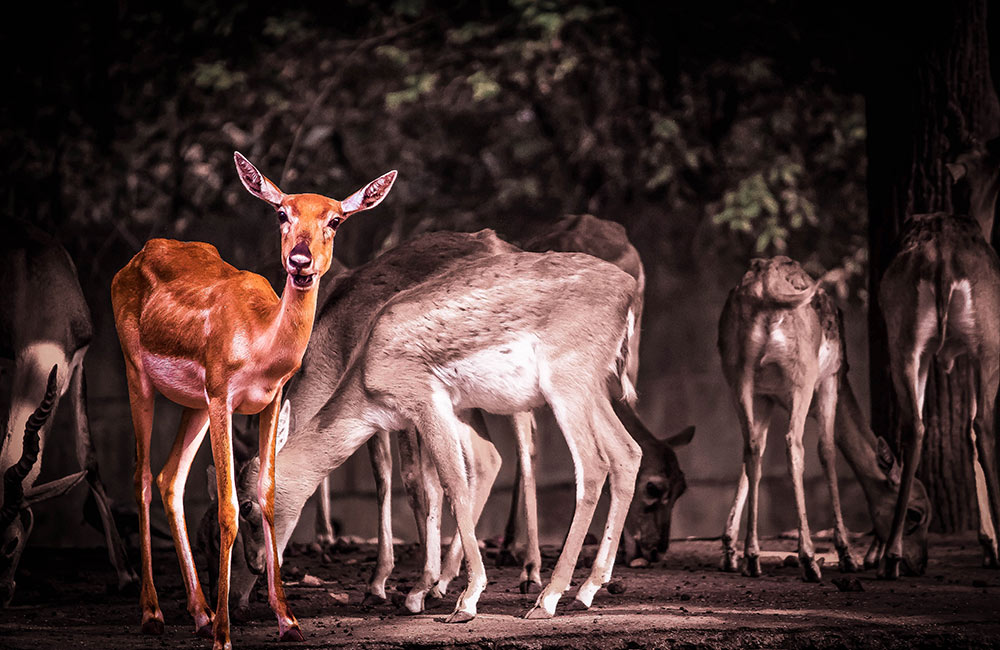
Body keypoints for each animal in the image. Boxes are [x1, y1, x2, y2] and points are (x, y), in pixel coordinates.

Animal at [108, 153, 390, 648]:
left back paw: (199, 613)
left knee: (169, 477)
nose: (300, 259)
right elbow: (227, 509)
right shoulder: (223, 396)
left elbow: (268, 494)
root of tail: (135, 258)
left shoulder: (269, 402)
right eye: (282, 213)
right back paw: (154, 613)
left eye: (335, 219)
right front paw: (225, 634)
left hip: (193, 404)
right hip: (137, 372)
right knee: (141, 475)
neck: (259, 343)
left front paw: (289, 622)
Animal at [720, 256, 860, 580]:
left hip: (737, 375)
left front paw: (730, 551)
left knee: (751, 448)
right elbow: (827, 450)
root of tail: (764, 286)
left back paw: (751, 557)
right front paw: (846, 554)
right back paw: (809, 559)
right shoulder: (830, 380)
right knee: (794, 444)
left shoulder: (765, 397)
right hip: (802, 376)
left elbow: (753, 452)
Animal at [876, 211, 1000, 576]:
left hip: (907, 341)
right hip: (985, 345)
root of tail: (943, 261)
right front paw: (989, 544)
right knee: (981, 424)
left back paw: (892, 556)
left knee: (919, 426)